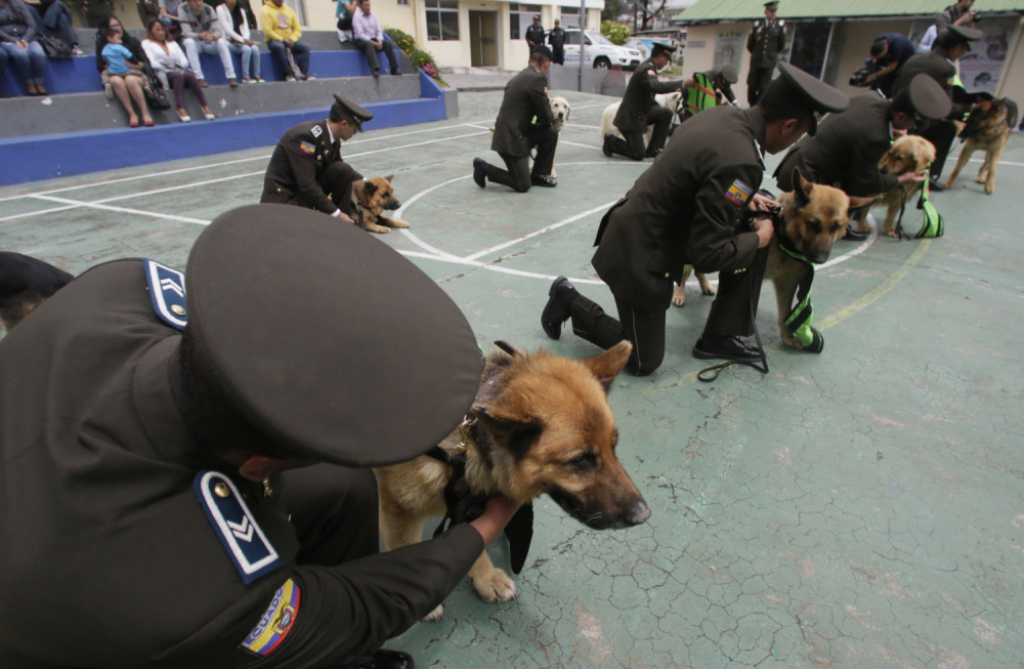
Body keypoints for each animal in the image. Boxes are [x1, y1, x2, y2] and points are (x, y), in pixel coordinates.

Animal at [374, 342, 647, 618]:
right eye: (580, 460)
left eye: (614, 447)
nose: (644, 516)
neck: (469, 441)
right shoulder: (399, 511)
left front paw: (485, 578)